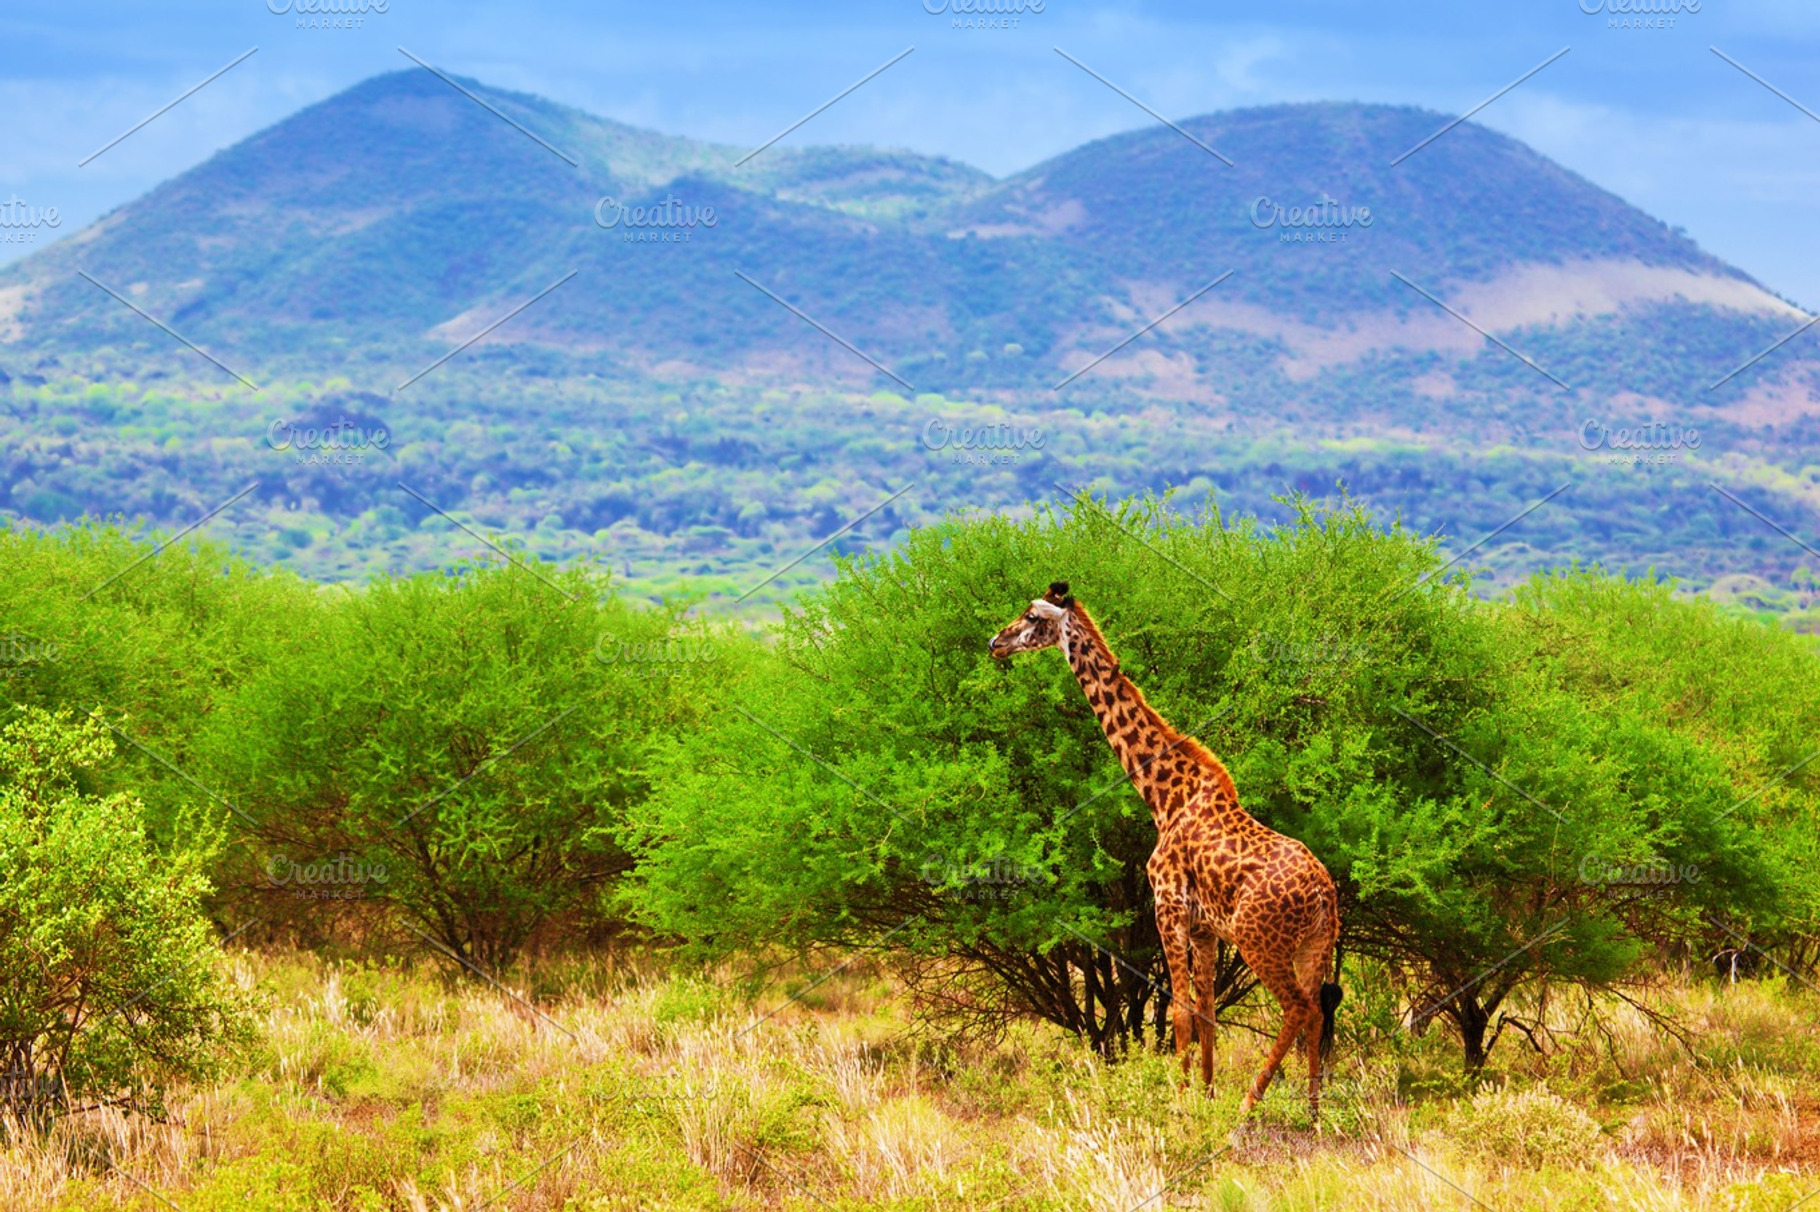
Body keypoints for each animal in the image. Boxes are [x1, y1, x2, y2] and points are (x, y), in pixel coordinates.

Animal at [990, 582, 1346, 1121]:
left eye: (1032, 616)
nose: (996, 642)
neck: (1163, 796)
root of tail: (1326, 895)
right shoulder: (1205, 929)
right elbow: (1207, 1012)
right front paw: (1206, 1095)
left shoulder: (1169, 908)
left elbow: (1179, 1011)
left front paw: (1181, 1106)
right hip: (1314, 948)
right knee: (1317, 1015)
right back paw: (1313, 1112)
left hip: (1259, 941)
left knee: (1299, 1008)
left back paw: (1250, 1105)